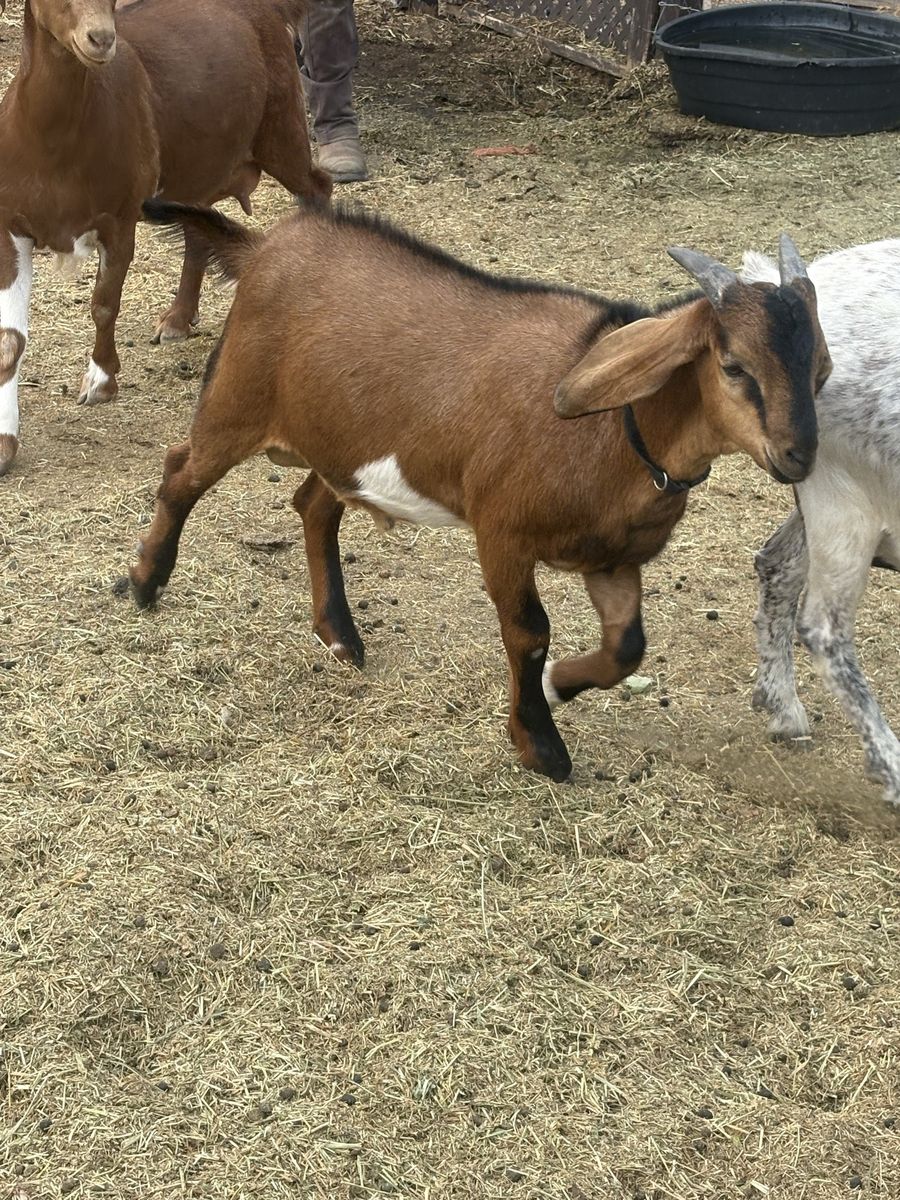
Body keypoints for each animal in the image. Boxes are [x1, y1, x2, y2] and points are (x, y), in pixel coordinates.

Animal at [0, 0, 331, 475]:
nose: (102, 38)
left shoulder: (120, 219)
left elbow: (104, 305)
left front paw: (102, 380)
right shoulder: (11, 226)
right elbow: (12, 339)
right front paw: (5, 444)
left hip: (282, 127)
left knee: (318, 186)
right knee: (198, 228)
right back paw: (178, 317)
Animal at [130, 201, 830, 782]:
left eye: (821, 369)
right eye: (734, 366)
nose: (799, 455)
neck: (612, 428)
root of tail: (264, 245)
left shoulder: (611, 558)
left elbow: (627, 647)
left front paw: (559, 685)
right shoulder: (503, 534)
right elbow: (529, 631)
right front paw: (540, 746)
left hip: (341, 450)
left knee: (313, 505)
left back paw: (341, 637)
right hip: (235, 400)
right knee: (180, 472)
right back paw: (142, 582)